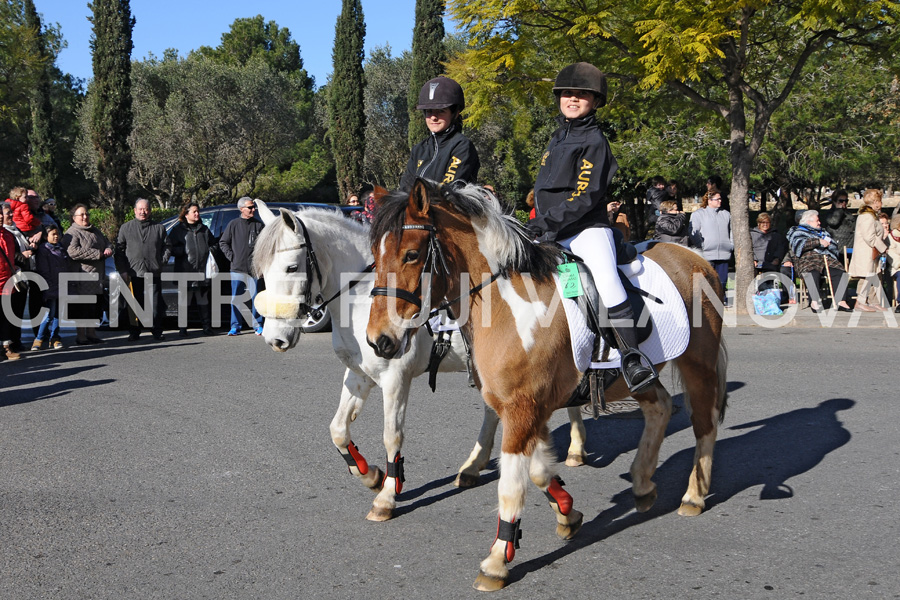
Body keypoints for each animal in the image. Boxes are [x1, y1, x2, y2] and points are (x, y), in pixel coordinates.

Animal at [253, 202, 592, 520]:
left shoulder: (395, 379)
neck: (361, 299)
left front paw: (387, 496)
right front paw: (370, 475)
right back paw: (474, 466)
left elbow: (392, 436)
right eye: (262, 272)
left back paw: (575, 449)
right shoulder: (359, 375)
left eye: (291, 267)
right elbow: (337, 429)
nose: (274, 339)